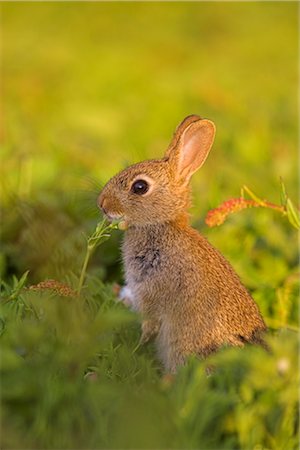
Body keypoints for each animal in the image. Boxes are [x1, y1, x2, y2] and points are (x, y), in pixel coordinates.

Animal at [98, 114, 268, 370]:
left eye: (140, 187)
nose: (102, 204)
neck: (162, 226)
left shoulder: (152, 298)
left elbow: (148, 328)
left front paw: (135, 349)